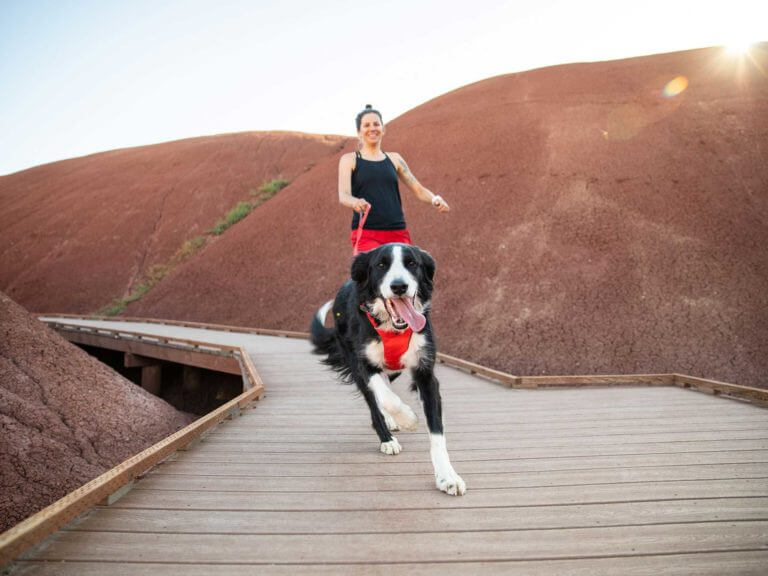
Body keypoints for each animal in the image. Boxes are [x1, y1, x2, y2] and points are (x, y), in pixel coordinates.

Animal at [308, 242, 464, 496]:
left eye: (412, 263)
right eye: (381, 265)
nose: (399, 286)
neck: (393, 328)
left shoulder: (426, 373)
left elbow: (437, 433)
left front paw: (447, 476)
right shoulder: (364, 365)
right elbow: (387, 397)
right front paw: (408, 419)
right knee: (375, 402)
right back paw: (387, 437)